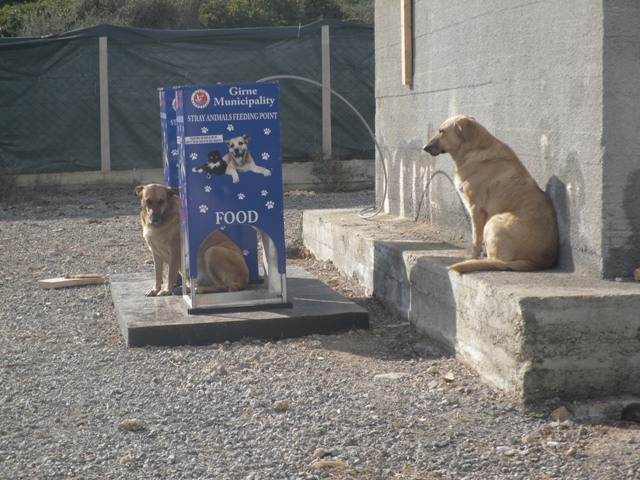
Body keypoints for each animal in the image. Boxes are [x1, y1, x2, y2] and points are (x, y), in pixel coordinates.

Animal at [424, 115, 560, 274]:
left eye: (442, 131)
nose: (424, 147)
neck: (475, 149)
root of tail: (535, 262)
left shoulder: (476, 209)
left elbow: (475, 240)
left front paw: (472, 257)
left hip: (493, 221)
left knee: (495, 260)